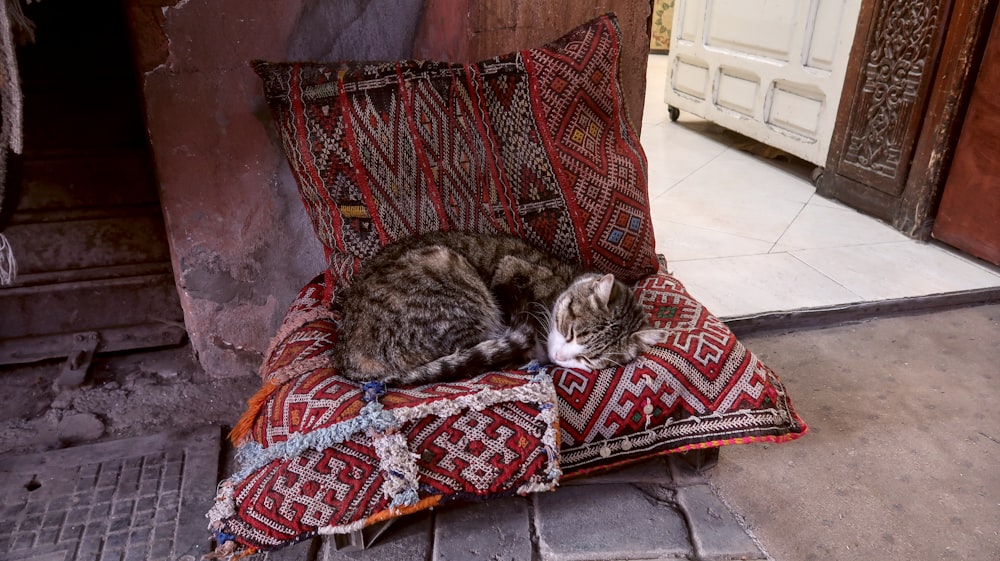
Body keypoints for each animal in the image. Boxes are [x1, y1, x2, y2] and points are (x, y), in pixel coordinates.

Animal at [332, 232, 668, 384]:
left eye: (588, 359)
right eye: (570, 332)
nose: (560, 357)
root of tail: (348, 357)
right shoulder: (510, 269)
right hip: (448, 273)